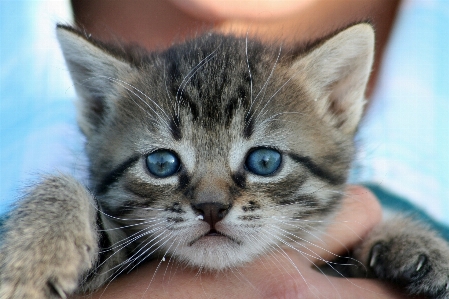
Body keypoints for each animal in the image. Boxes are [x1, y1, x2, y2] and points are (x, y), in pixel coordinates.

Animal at [0, 23, 448, 299]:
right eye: (161, 164)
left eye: (264, 161)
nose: (211, 208)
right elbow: (63, 184)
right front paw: (32, 261)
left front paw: (417, 242)